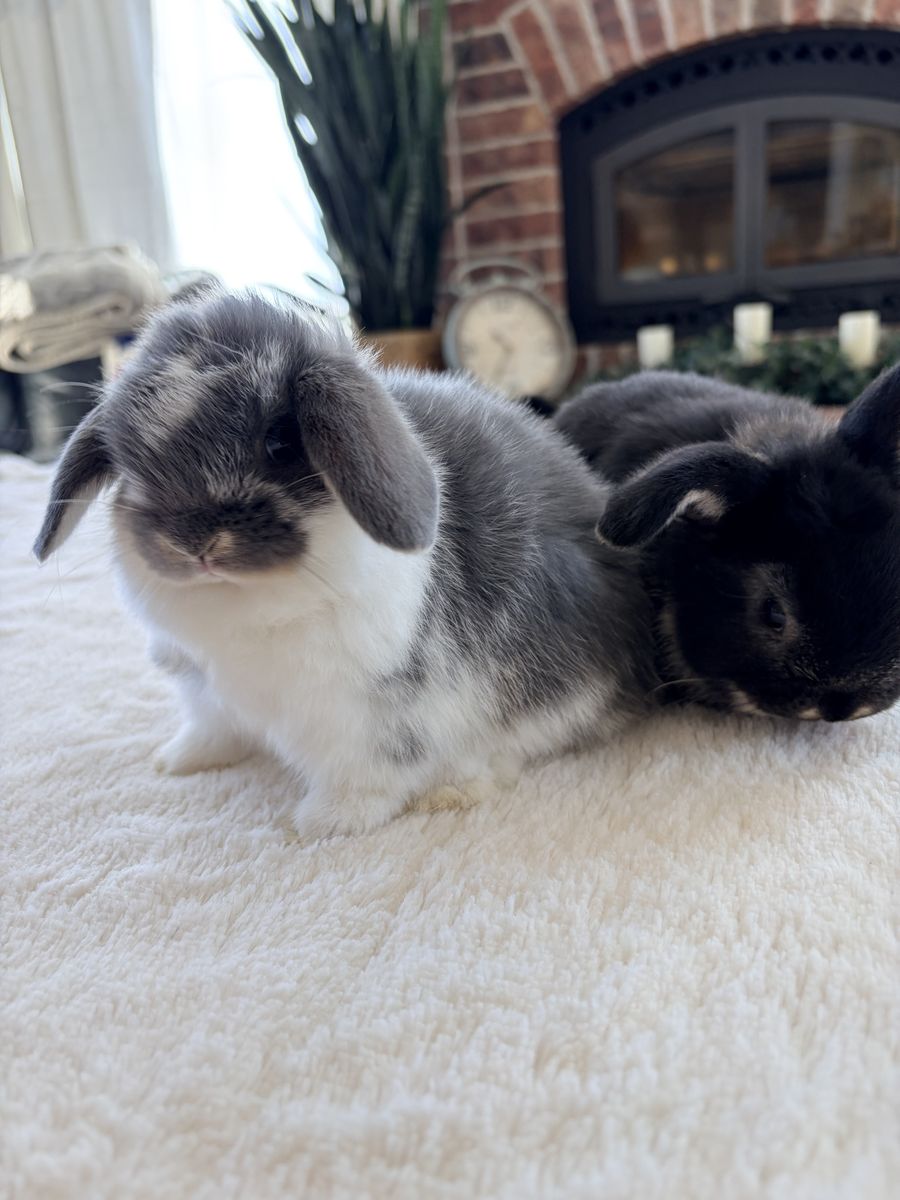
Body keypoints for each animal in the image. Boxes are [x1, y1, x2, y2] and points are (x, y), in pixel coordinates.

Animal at [34, 289, 655, 838]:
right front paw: (180, 759)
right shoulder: (204, 685)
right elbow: (214, 726)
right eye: (126, 458)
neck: (248, 602)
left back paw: (453, 790)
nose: (194, 543)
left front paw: (321, 824)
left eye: (281, 441)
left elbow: (369, 772)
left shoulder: (367, 710)